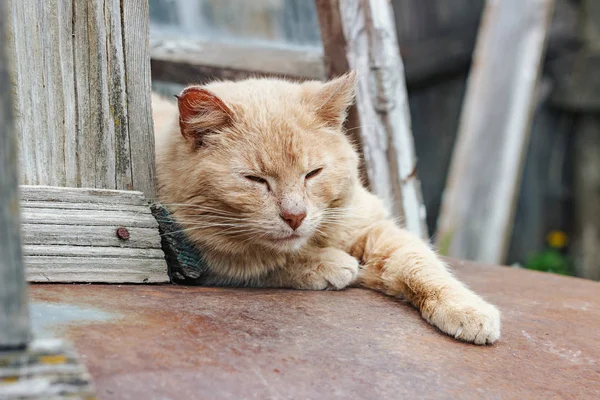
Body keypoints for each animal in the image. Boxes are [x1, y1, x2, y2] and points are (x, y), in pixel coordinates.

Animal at [152, 72, 500, 344]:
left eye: (313, 173)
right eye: (256, 179)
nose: (295, 216)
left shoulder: (373, 230)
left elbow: (421, 263)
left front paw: (465, 308)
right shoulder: (191, 251)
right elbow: (260, 261)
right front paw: (330, 264)